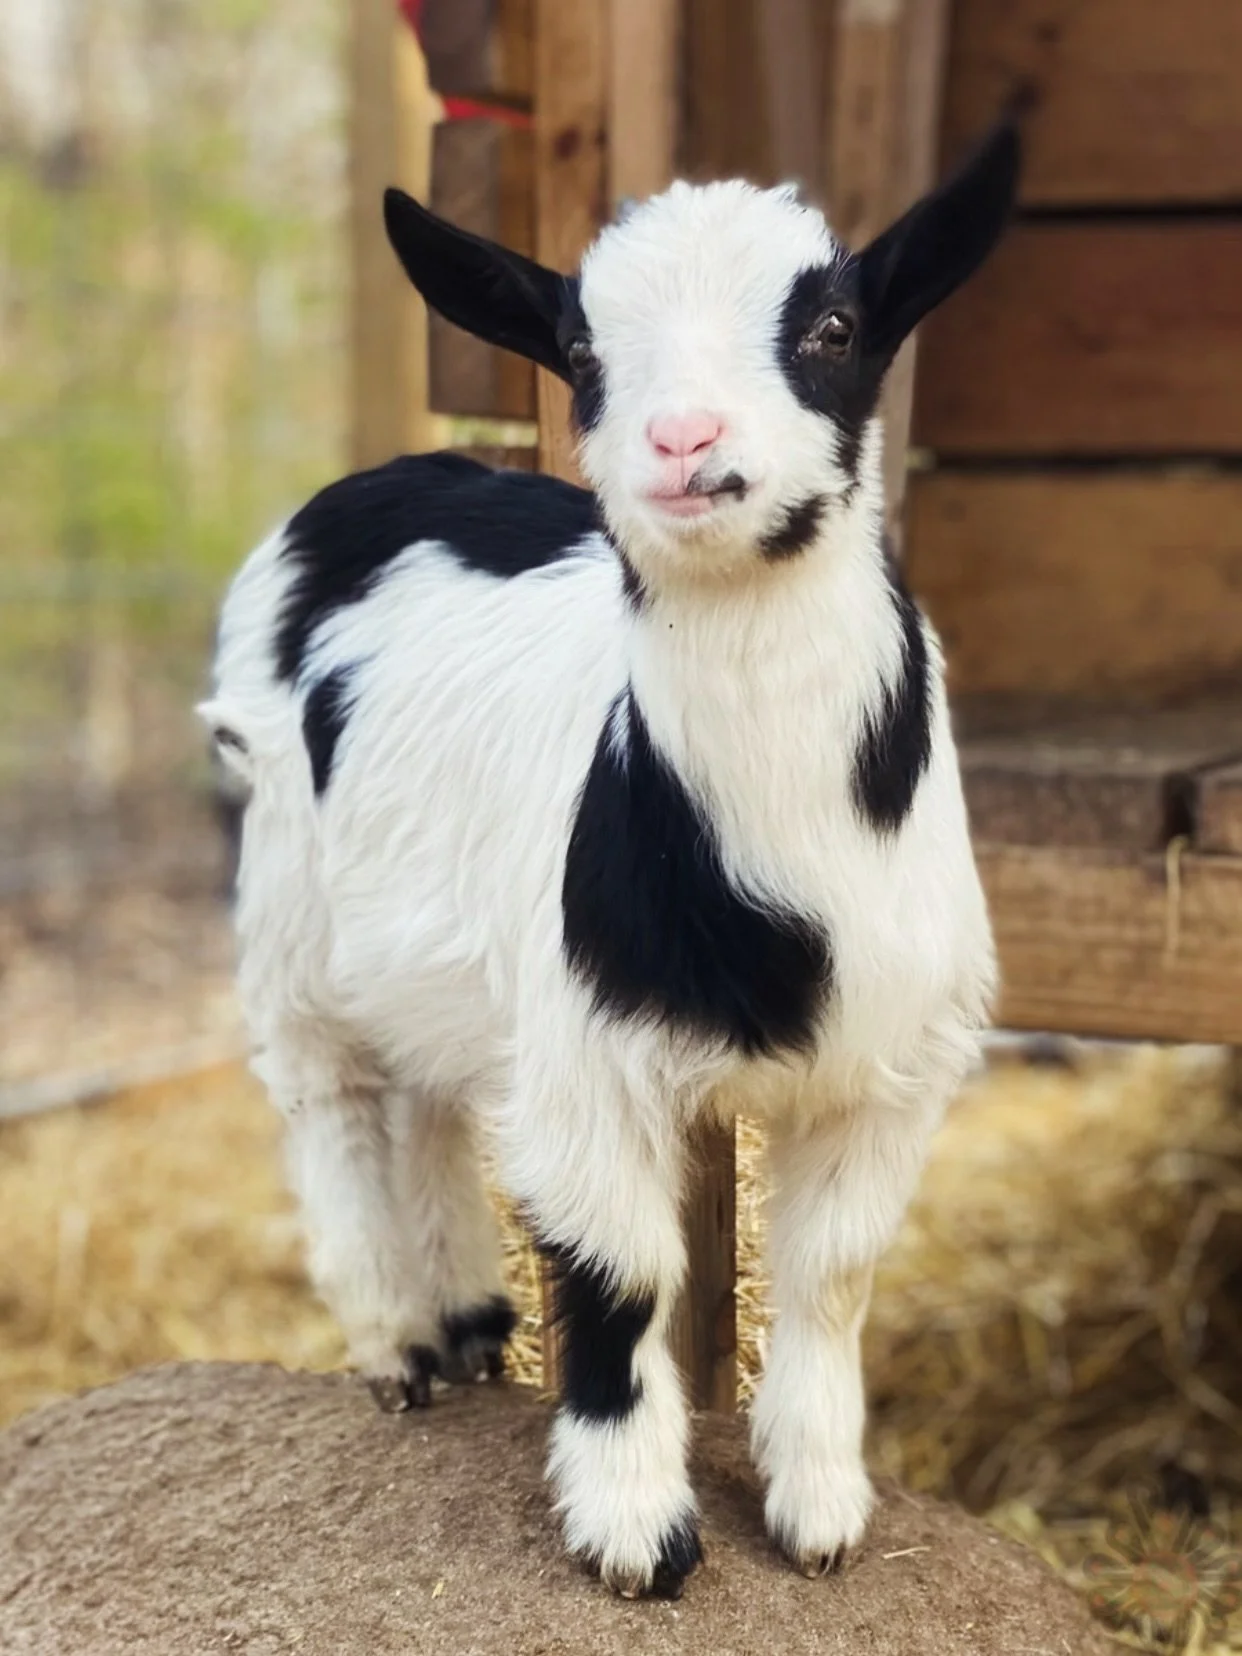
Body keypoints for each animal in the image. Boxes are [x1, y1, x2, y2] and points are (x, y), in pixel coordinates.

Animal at [199, 122, 1017, 1600]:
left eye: (832, 325)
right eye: (580, 349)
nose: (682, 438)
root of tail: (389, 474)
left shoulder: (892, 1066)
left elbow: (829, 1274)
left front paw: (819, 1509)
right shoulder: (588, 1057)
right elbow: (619, 1272)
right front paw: (635, 1532)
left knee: (429, 1093)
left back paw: (466, 1318)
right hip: (284, 890)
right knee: (331, 1097)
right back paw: (396, 1342)